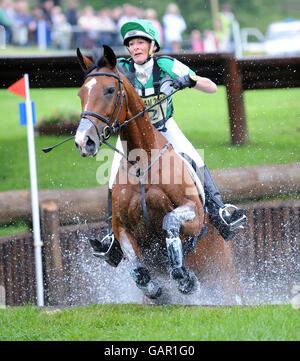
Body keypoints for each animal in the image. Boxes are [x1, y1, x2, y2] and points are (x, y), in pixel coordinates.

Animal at [74, 45, 244, 304]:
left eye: (110, 90)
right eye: (80, 94)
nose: (84, 141)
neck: (142, 162)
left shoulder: (194, 216)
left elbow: (169, 222)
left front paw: (185, 280)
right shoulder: (122, 228)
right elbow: (138, 270)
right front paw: (157, 289)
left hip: (226, 279)